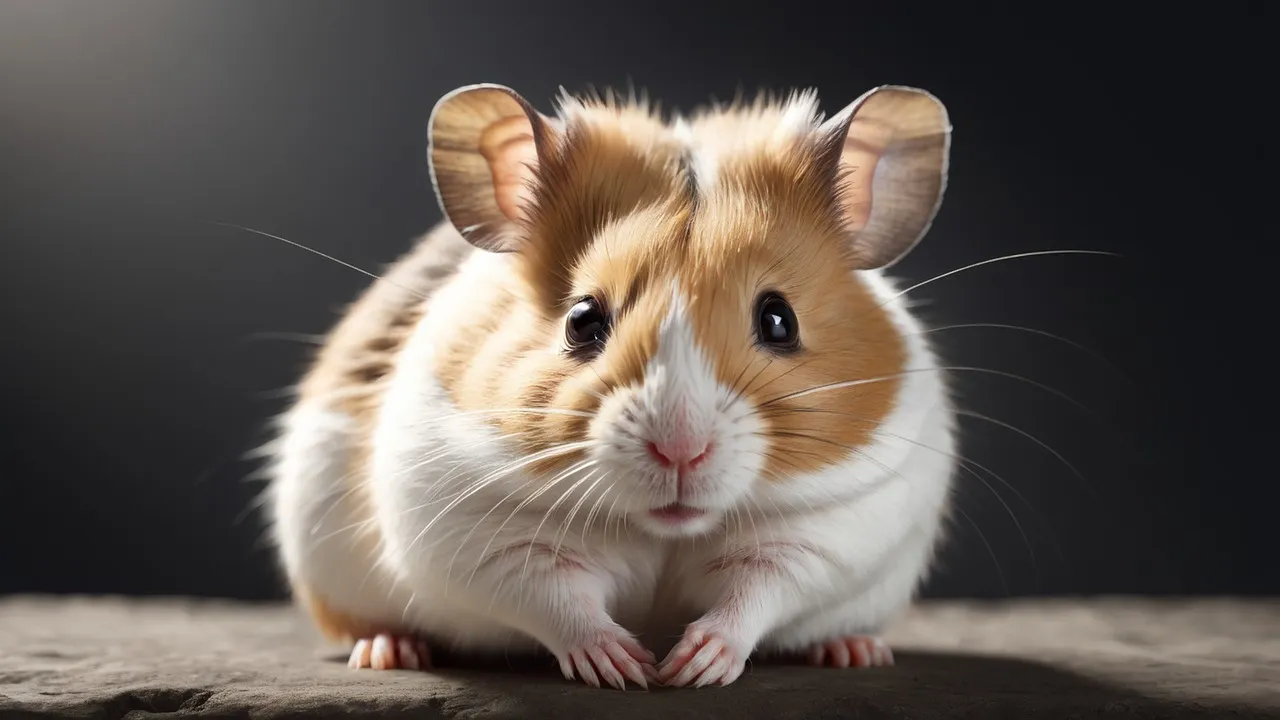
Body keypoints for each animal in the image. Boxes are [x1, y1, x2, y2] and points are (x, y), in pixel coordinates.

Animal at [265, 82, 956, 689]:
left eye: (779, 320)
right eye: (582, 319)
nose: (680, 452)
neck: (663, 528)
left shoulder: (830, 532)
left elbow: (758, 593)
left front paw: (690, 667)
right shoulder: (483, 535)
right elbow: (554, 599)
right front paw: (626, 667)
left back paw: (855, 650)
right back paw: (388, 650)